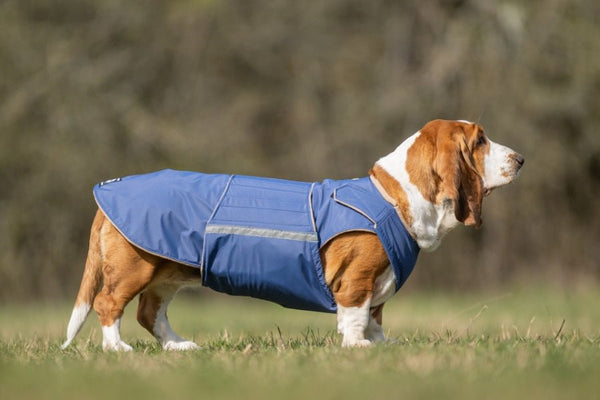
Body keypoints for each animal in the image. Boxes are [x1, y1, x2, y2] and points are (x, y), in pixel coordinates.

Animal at [59, 119, 520, 350]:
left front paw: (383, 345)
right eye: (480, 141)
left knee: (149, 313)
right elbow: (356, 316)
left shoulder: (379, 287)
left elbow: (376, 318)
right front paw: (359, 348)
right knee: (108, 305)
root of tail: (108, 190)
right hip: (135, 267)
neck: (394, 194)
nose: (520, 159)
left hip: (167, 274)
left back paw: (178, 346)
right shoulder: (357, 280)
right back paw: (117, 349)